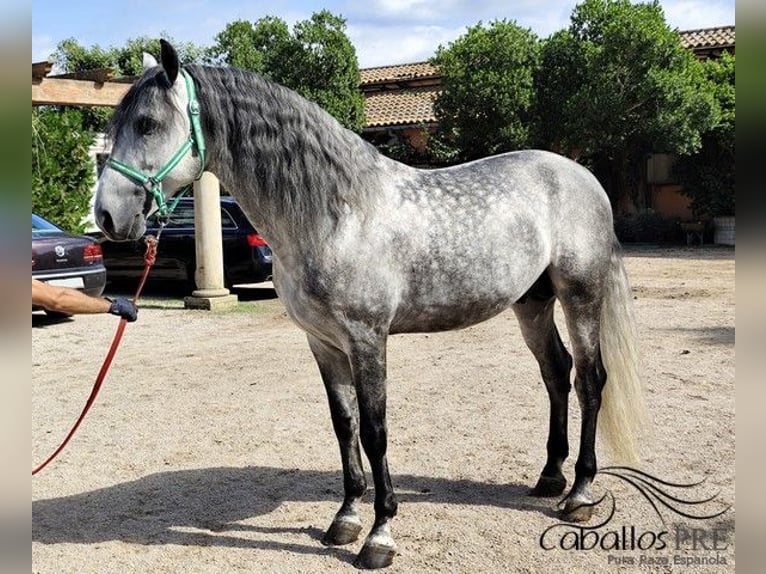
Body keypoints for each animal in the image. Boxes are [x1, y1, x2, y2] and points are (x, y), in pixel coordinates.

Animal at [95, 40, 647, 569]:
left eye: (147, 124)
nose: (105, 216)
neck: (336, 214)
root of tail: (581, 176)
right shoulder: (322, 343)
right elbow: (346, 427)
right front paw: (345, 519)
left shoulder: (367, 338)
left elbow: (376, 430)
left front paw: (380, 536)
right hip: (532, 303)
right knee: (555, 373)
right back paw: (550, 476)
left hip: (581, 295)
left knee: (589, 379)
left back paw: (579, 494)